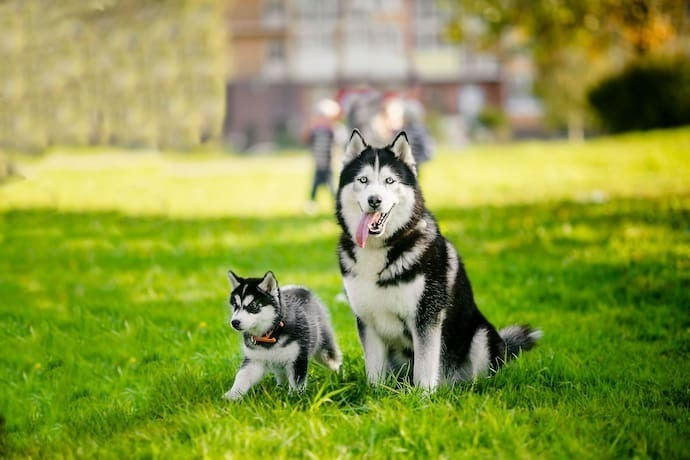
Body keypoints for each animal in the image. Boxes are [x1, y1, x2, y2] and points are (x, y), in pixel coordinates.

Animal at [222, 270, 340, 398]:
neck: (270, 334)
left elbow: (296, 383)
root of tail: (299, 288)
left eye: (252, 306)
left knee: (333, 361)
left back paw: (339, 378)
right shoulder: (254, 359)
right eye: (235, 305)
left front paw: (294, 398)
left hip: (323, 349)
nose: (234, 322)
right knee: (281, 374)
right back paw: (279, 388)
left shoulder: (297, 358)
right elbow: (242, 377)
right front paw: (232, 395)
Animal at [336, 130, 540, 392]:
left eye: (389, 181)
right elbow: (374, 373)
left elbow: (424, 367)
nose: (374, 200)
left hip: (480, 334)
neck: (379, 248)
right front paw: (375, 395)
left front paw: (423, 397)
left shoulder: (426, 317)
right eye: (363, 180)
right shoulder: (367, 320)